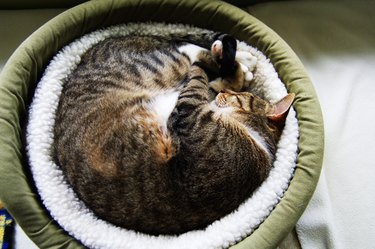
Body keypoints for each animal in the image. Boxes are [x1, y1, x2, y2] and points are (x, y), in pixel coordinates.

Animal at [53, 33, 296, 235]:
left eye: (239, 97)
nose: (226, 93)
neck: (255, 138)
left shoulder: (190, 113)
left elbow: (199, 78)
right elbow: (211, 81)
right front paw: (231, 75)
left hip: (161, 68)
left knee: (187, 52)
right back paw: (240, 58)